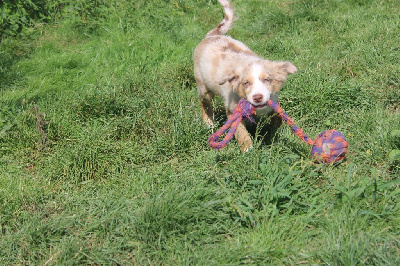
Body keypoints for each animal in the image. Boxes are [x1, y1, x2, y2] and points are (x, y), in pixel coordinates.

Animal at [194, 0, 296, 152]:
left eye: (267, 80)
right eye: (246, 83)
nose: (257, 97)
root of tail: (211, 36)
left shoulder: (272, 100)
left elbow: (277, 117)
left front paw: (274, 128)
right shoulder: (232, 109)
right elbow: (240, 131)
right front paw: (247, 149)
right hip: (203, 86)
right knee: (204, 102)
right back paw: (208, 122)